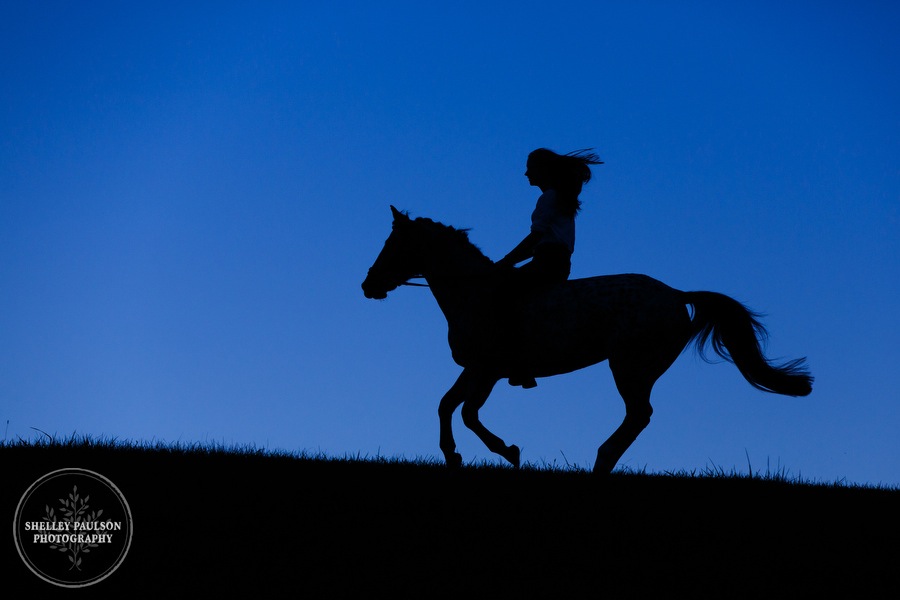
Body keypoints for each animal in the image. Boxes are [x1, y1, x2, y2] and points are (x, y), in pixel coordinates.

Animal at [362, 206, 812, 474]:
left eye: (393, 244)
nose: (368, 285)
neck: (475, 293)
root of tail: (676, 295)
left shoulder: (488, 370)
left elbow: (469, 413)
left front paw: (509, 451)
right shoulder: (475, 369)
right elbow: (446, 405)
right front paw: (452, 455)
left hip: (630, 367)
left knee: (639, 415)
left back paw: (601, 460)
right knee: (638, 417)